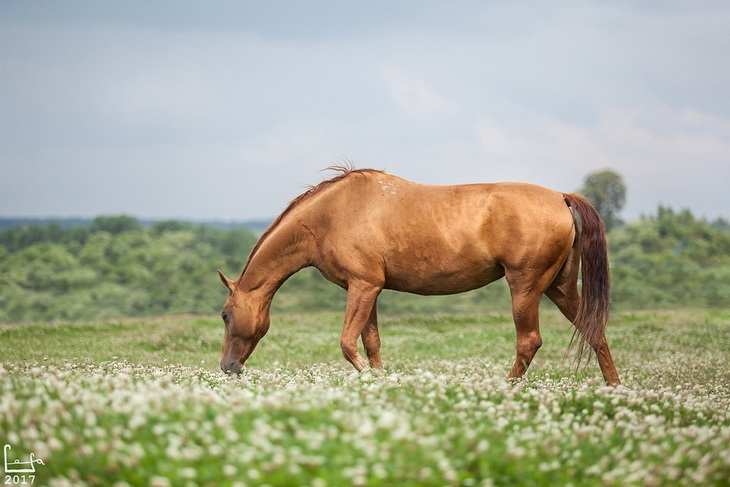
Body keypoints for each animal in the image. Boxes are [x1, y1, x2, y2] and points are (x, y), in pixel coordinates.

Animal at [218, 166, 620, 386]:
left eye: (224, 315)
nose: (227, 367)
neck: (331, 215)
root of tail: (561, 197)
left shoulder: (362, 286)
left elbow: (348, 343)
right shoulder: (369, 289)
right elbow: (371, 343)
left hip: (525, 286)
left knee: (529, 342)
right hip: (559, 286)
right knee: (593, 330)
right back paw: (614, 390)